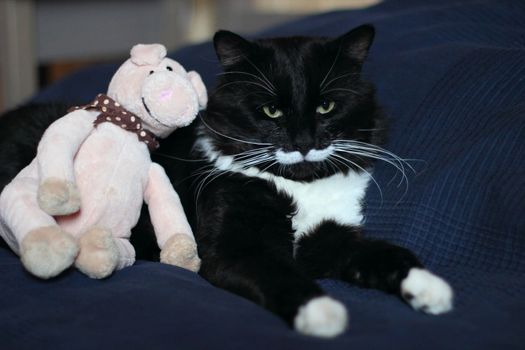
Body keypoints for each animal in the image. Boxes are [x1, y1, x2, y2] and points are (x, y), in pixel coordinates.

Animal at [190, 24, 452, 336]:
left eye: (326, 106)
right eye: (271, 111)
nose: (304, 142)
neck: (301, 188)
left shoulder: (331, 239)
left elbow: (385, 252)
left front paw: (428, 286)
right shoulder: (233, 249)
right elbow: (279, 273)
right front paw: (321, 312)